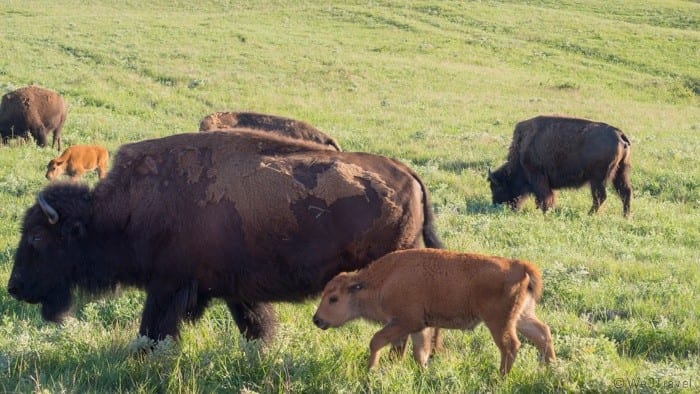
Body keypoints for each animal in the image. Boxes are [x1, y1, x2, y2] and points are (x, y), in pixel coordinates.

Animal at [8, 130, 440, 344]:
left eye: (37, 239)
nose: (14, 288)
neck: (126, 208)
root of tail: (409, 175)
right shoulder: (236, 291)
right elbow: (256, 328)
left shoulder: (167, 286)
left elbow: (152, 332)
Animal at [314, 249, 556, 376]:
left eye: (333, 298)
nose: (317, 320)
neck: (382, 281)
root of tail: (520, 266)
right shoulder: (419, 326)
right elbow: (419, 352)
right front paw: (423, 373)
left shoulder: (405, 322)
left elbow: (377, 341)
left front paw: (370, 369)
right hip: (522, 317)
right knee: (543, 334)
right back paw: (551, 369)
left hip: (498, 322)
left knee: (510, 346)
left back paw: (500, 378)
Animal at [486, 115, 636, 217]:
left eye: (496, 187)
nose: (495, 204)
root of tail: (619, 134)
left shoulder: (537, 176)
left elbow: (544, 196)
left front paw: (545, 210)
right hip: (621, 173)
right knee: (625, 192)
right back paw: (626, 216)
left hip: (598, 179)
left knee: (600, 197)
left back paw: (589, 214)